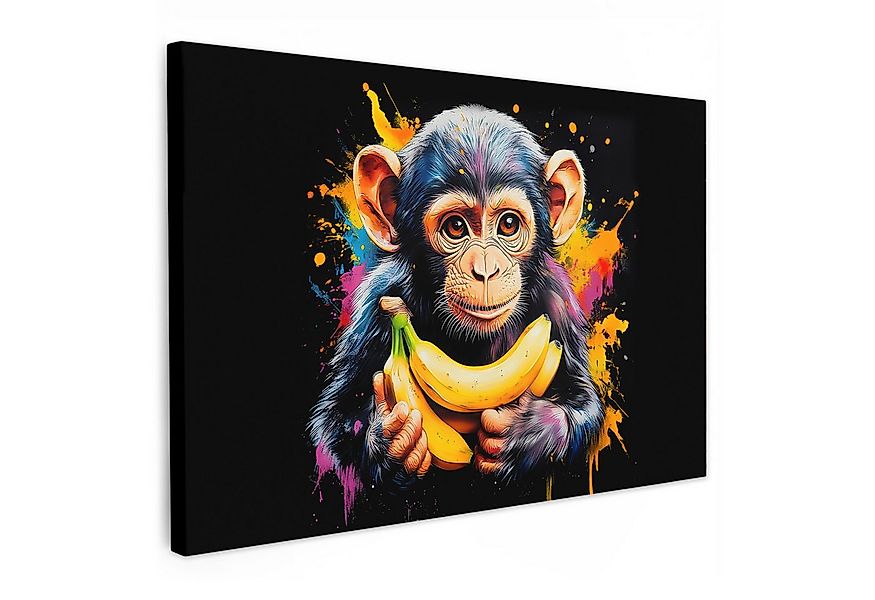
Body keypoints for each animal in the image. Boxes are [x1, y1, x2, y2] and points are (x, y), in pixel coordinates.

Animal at [308, 105, 604, 498]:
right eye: (455, 228)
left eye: (508, 225)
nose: (485, 269)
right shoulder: (375, 304)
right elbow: (334, 420)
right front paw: (392, 442)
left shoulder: (559, 303)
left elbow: (584, 402)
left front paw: (526, 434)